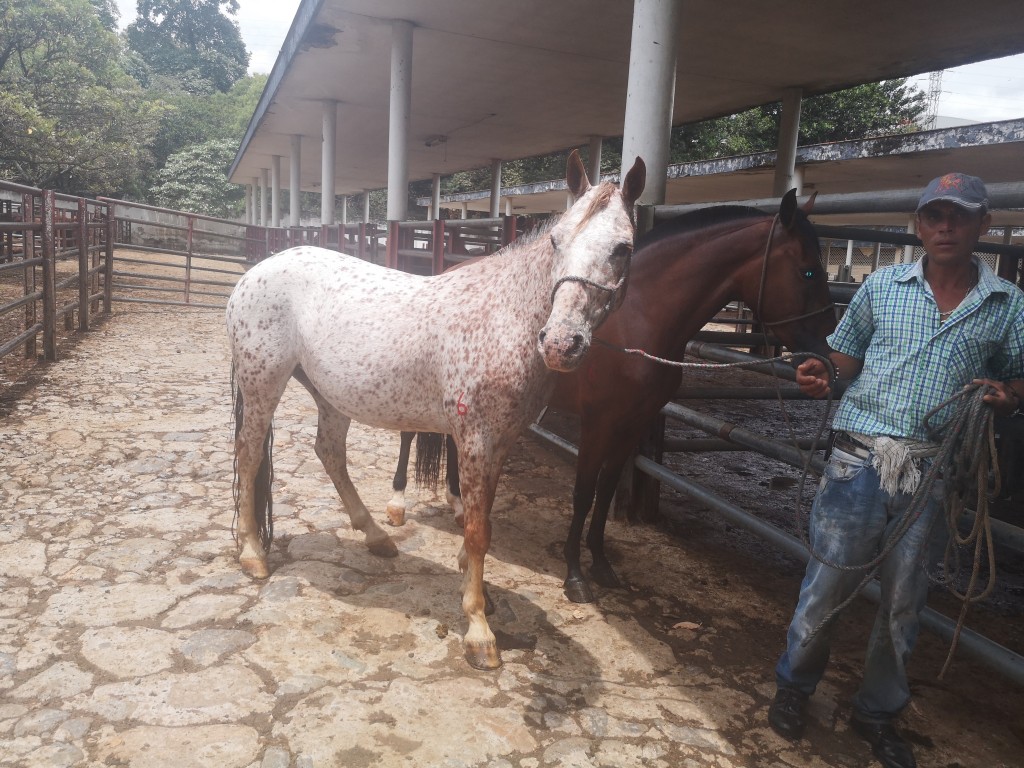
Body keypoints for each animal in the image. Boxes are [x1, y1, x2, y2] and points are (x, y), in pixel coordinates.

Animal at [226, 150, 646, 669]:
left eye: (623, 248)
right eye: (555, 240)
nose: (561, 343)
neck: (504, 318)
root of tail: (254, 275)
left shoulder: (500, 441)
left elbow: (479, 519)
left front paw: (472, 579)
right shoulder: (475, 438)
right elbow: (479, 530)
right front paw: (479, 628)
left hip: (329, 394)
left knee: (328, 452)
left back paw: (377, 537)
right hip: (262, 383)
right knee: (249, 455)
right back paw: (253, 554)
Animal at [392, 190, 836, 603]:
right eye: (808, 271)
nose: (827, 350)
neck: (639, 319)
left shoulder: (634, 423)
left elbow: (605, 490)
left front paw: (601, 563)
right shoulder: (598, 422)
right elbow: (583, 492)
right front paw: (574, 574)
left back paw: (458, 506)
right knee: (408, 435)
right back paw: (397, 505)